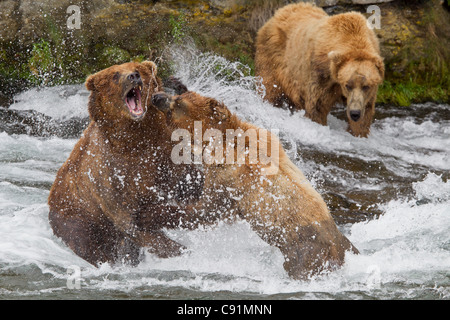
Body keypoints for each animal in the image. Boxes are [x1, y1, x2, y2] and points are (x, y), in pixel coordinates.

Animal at [48, 61, 203, 266]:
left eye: (138, 69)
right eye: (114, 75)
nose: (133, 76)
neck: (135, 138)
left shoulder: (164, 152)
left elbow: (188, 183)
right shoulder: (110, 174)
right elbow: (129, 222)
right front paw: (181, 250)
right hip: (78, 216)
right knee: (91, 244)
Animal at [255, 2, 384, 138]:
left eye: (366, 86)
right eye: (347, 85)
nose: (355, 113)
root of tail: (278, 13)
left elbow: (365, 114)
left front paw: (358, 131)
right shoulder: (321, 75)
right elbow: (317, 106)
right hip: (273, 58)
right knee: (270, 89)